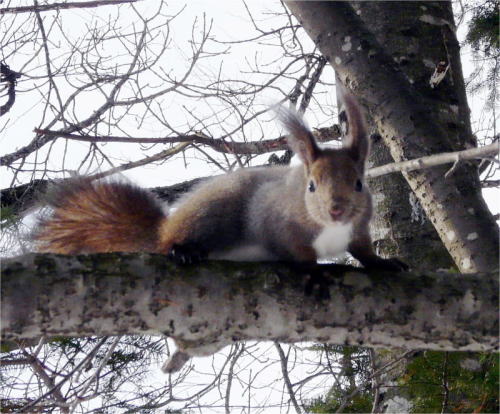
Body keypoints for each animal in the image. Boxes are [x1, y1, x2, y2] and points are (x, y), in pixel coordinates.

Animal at [35, 91, 408, 272]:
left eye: (359, 183)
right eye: (311, 186)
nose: (336, 211)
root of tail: (164, 228)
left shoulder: (358, 230)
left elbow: (363, 251)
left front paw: (384, 263)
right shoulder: (273, 219)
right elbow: (294, 251)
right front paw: (314, 272)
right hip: (212, 215)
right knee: (174, 242)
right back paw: (183, 251)